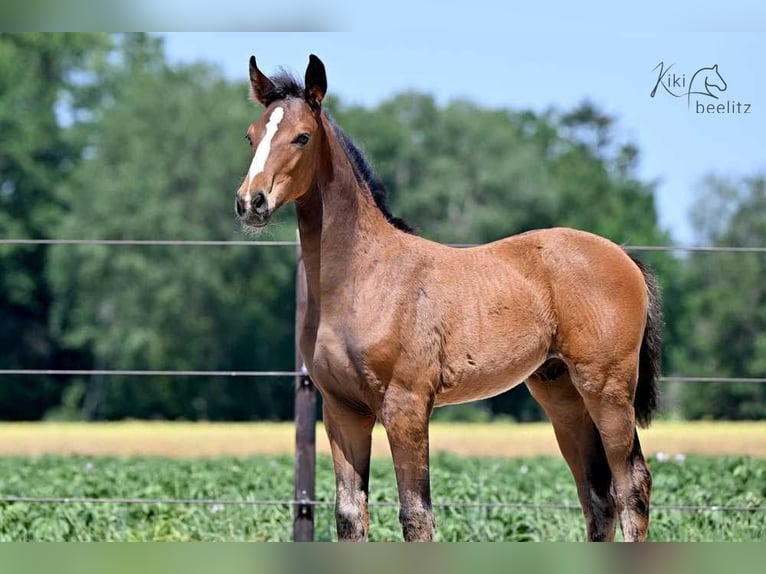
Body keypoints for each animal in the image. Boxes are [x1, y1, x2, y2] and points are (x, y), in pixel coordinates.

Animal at [232, 55, 660, 544]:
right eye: (251, 135)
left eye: (302, 136)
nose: (251, 202)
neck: (363, 278)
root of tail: (623, 256)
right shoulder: (342, 409)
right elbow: (349, 515)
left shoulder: (407, 405)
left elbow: (416, 516)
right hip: (562, 393)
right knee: (597, 496)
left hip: (608, 389)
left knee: (631, 488)